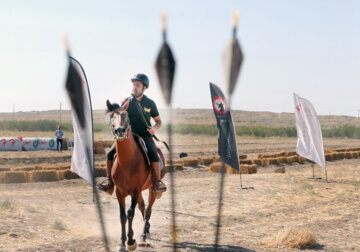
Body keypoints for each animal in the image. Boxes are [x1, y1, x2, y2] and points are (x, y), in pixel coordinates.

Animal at [105, 99, 165, 251]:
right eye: (112, 116)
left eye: (126, 115)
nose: (119, 130)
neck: (127, 161)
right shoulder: (119, 192)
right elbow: (122, 215)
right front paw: (122, 242)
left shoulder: (135, 190)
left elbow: (130, 213)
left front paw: (131, 241)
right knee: (142, 207)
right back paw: (146, 230)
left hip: (152, 189)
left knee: (148, 210)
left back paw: (143, 235)